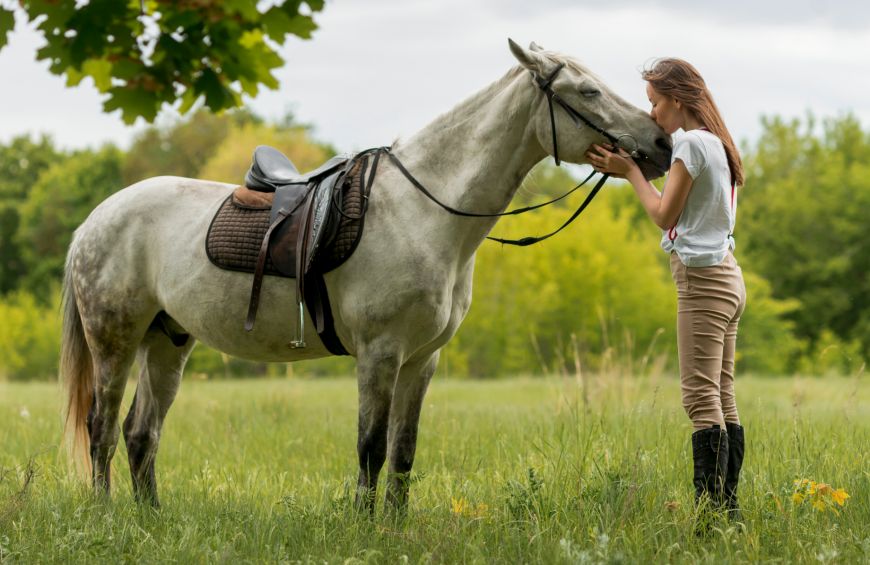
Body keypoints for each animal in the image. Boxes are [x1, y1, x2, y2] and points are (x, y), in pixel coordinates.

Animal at [60, 39, 671, 512]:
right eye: (588, 92)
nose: (662, 143)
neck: (424, 208)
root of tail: (95, 219)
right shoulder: (380, 353)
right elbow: (371, 447)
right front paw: (365, 526)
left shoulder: (422, 360)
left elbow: (403, 451)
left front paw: (395, 527)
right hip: (115, 341)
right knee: (101, 429)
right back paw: (106, 516)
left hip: (167, 341)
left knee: (140, 434)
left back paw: (152, 518)